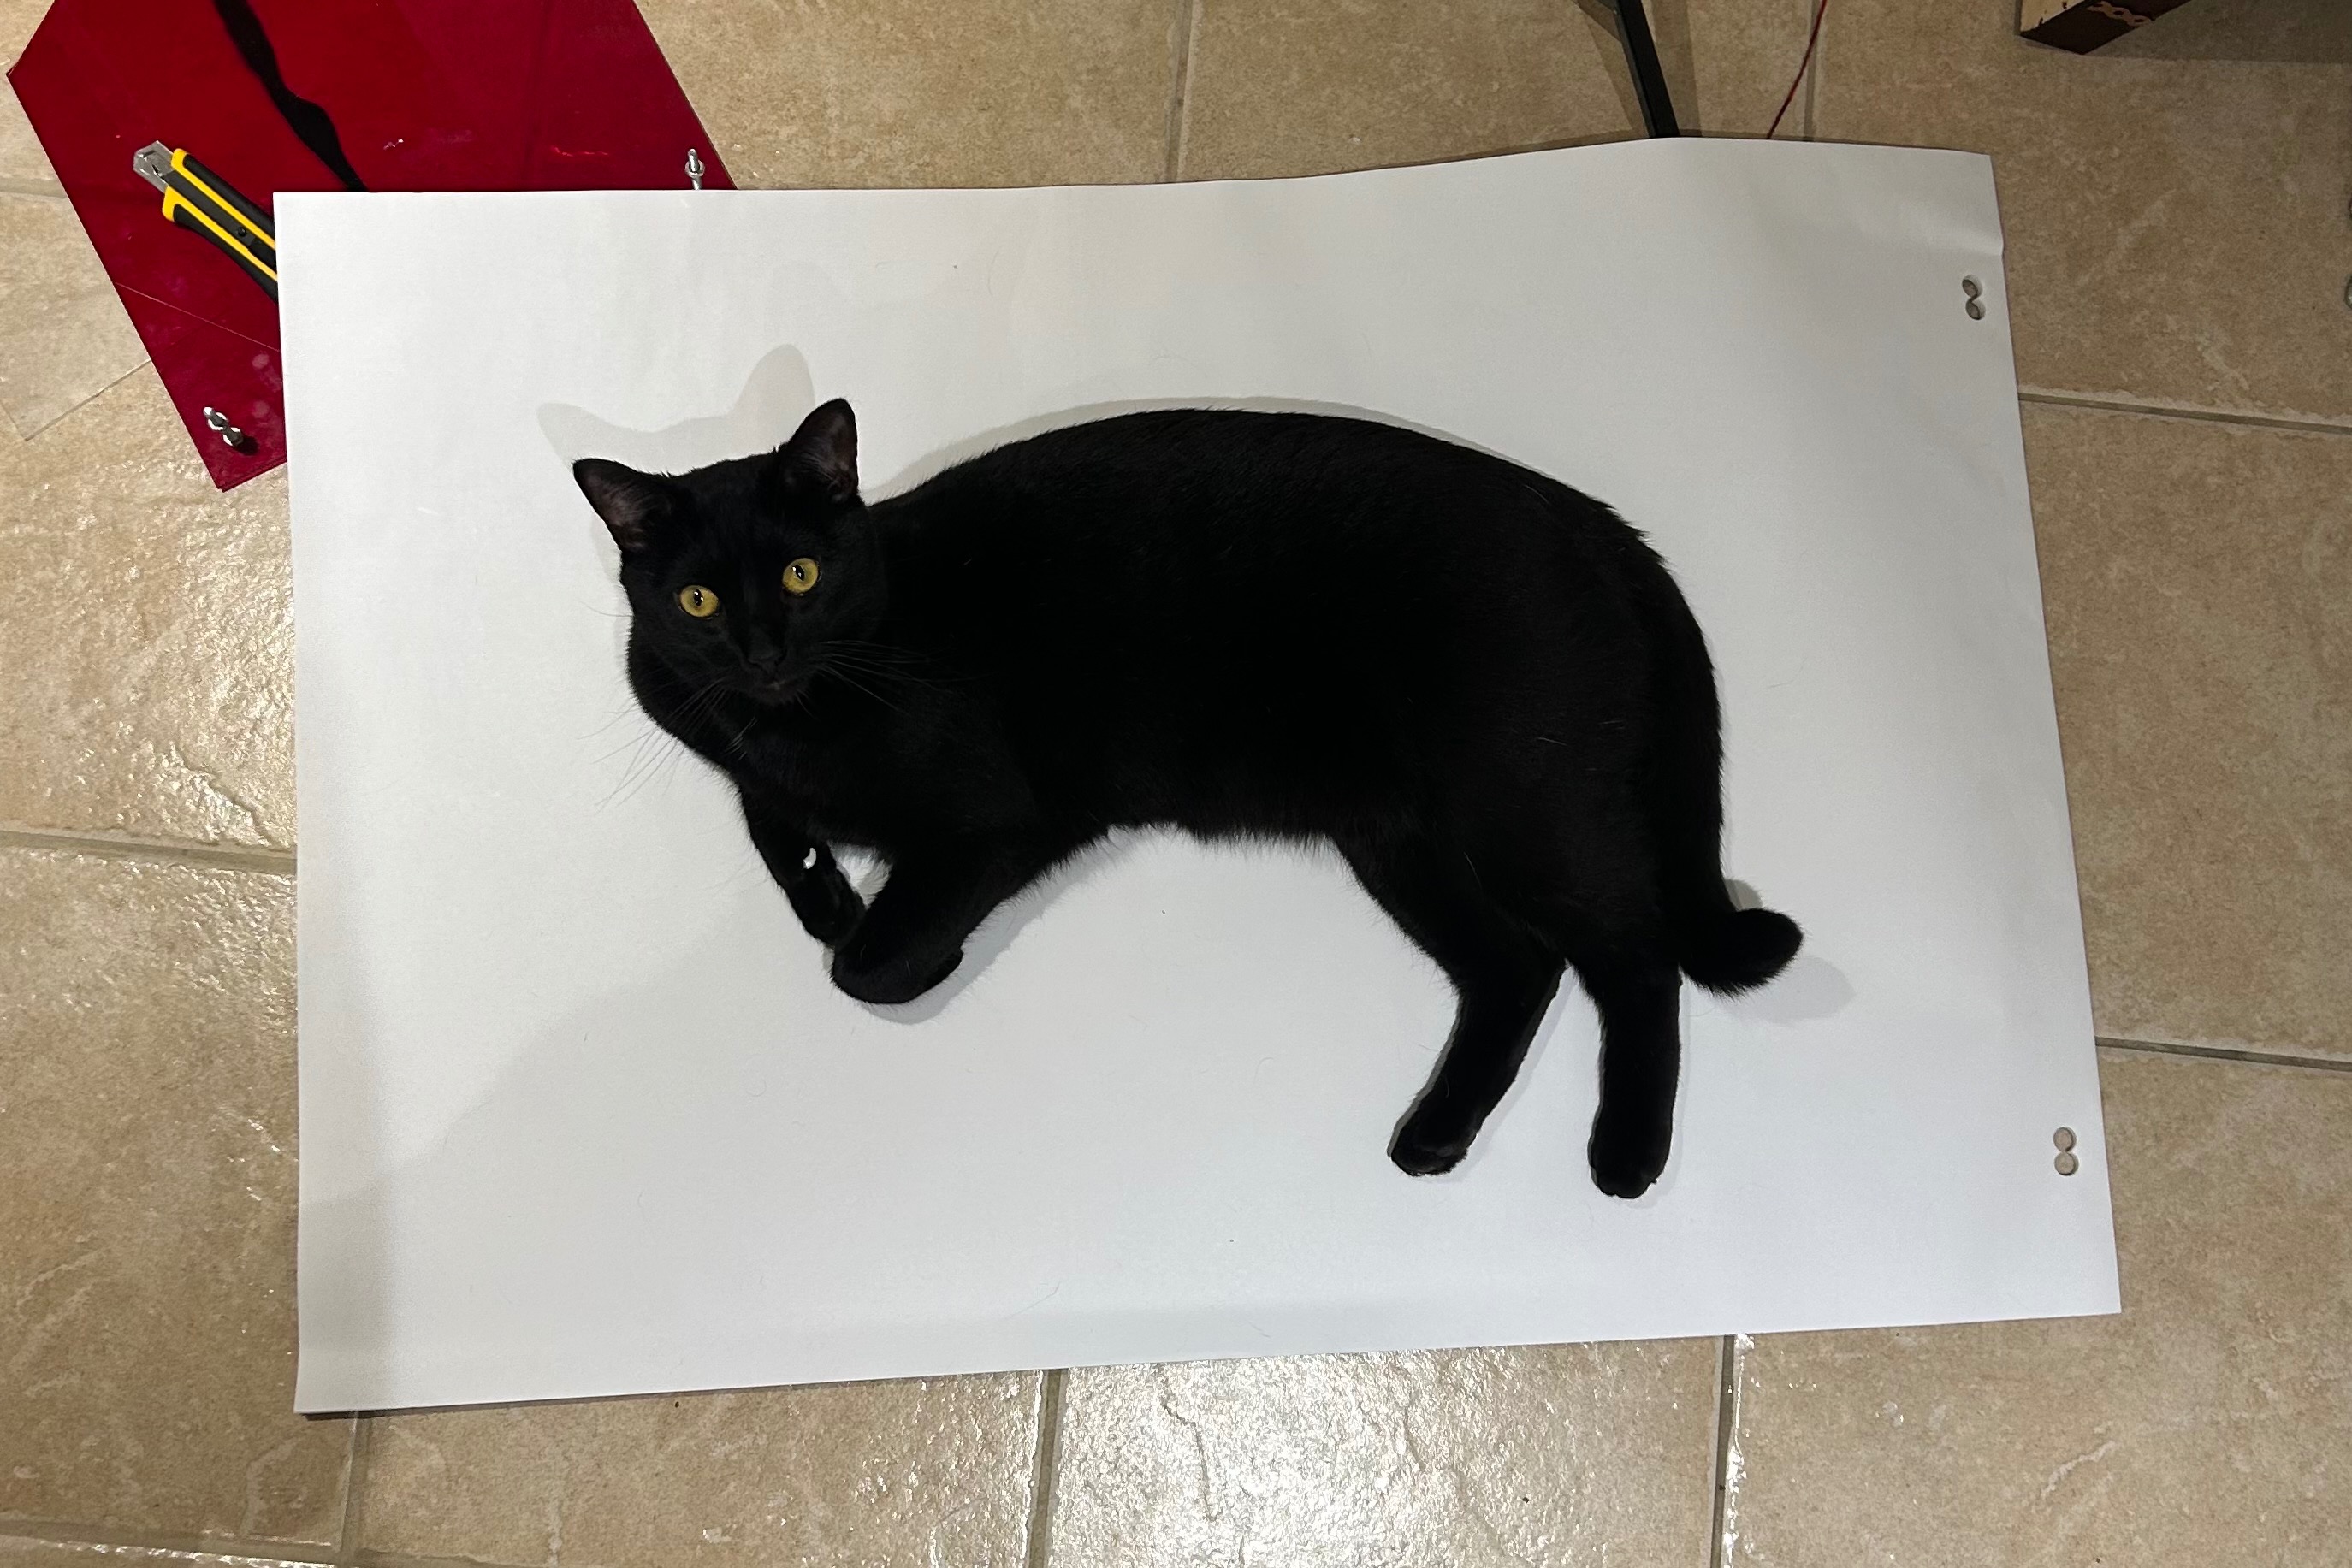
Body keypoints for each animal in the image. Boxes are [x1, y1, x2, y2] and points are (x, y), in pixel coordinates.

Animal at [574, 399, 1800, 1198]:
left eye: (801, 575)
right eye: (694, 601)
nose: (762, 650)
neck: (804, 712)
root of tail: (1596, 521)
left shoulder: (999, 820)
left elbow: (864, 968)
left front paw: (908, 948)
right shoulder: (707, 723)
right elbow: (768, 821)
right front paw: (827, 890)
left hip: (1521, 806)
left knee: (1632, 956)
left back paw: (1627, 1153)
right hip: (1396, 836)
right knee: (1518, 966)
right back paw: (1435, 1135)